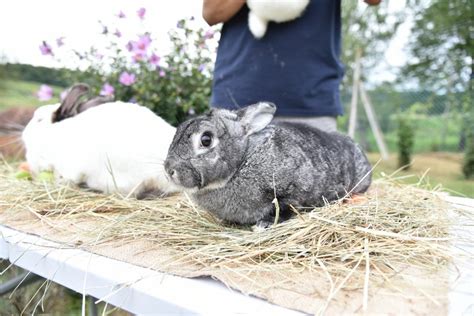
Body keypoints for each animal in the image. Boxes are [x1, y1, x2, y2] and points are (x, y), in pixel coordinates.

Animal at [165, 102, 372, 228]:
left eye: (206, 139)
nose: (169, 170)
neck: (242, 161)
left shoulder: (293, 190)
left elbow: (286, 207)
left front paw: (264, 224)